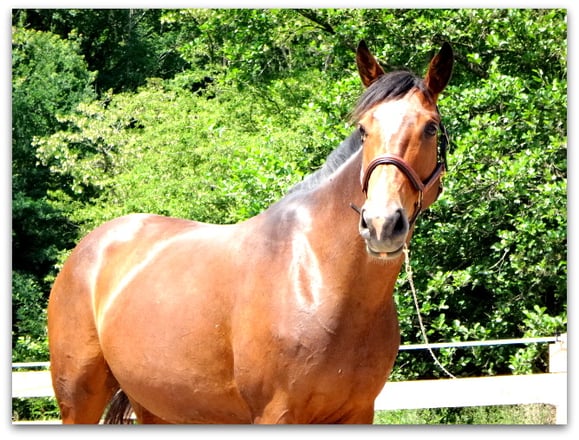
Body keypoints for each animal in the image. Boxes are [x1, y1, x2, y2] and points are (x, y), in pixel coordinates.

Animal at [47, 40, 453, 424]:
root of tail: (90, 247)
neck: (321, 277)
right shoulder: (276, 413)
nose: (381, 223)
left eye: (430, 127)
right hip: (79, 400)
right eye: (364, 129)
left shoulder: (358, 412)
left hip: (156, 406)